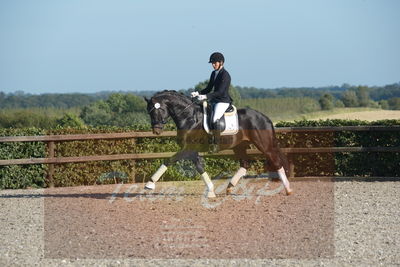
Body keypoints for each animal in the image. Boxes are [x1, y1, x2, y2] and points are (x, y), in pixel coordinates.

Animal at [142, 91, 292, 198]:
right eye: (148, 112)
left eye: (157, 110)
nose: (156, 131)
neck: (189, 118)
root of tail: (264, 117)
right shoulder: (192, 151)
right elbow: (199, 168)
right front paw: (211, 191)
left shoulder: (188, 149)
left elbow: (169, 160)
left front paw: (149, 184)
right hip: (239, 146)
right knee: (245, 164)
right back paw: (230, 187)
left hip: (264, 145)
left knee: (276, 162)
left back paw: (288, 189)